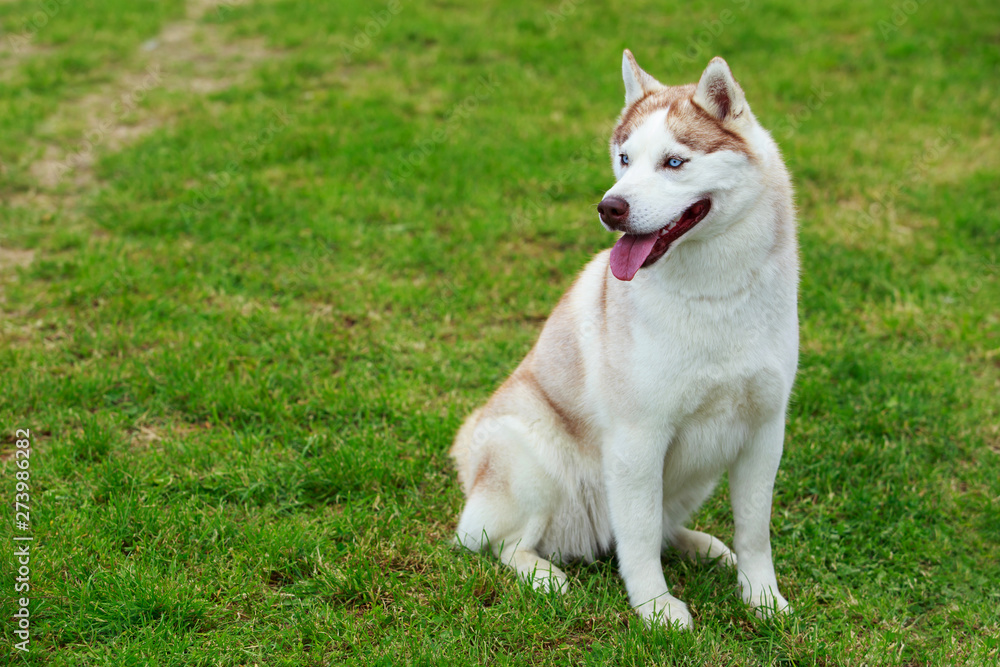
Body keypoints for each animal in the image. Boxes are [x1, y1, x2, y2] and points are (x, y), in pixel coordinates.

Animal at [454, 49, 796, 628]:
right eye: (625, 159)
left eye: (674, 162)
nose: (609, 207)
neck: (714, 296)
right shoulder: (639, 439)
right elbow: (636, 536)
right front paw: (657, 609)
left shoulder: (764, 430)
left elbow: (754, 530)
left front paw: (762, 598)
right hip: (530, 454)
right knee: (501, 543)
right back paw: (544, 575)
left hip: (695, 474)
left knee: (662, 527)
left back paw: (701, 546)